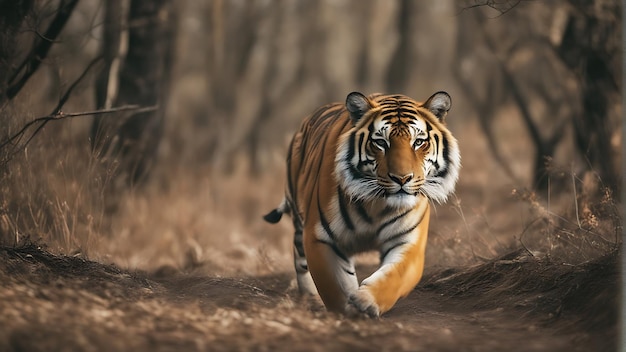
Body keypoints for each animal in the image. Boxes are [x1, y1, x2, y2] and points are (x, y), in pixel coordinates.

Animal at [264, 92, 458, 318]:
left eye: (418, 142)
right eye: (381, 142)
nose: (402, 178)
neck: (377, 205)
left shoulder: (408, 242)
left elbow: (393, 277)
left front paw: (366, 301)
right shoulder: (321, 238)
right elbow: (336, 286)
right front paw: (347, 311)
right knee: (300, 260)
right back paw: (309, 298)